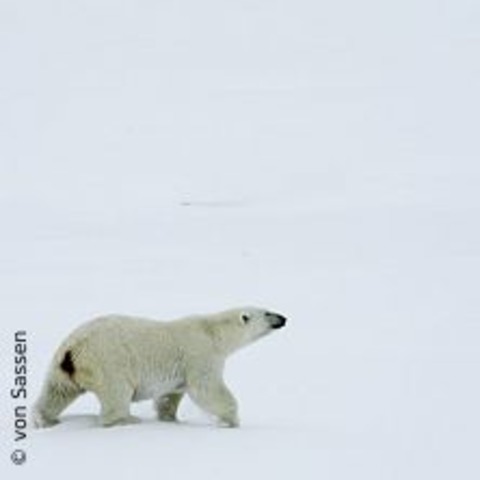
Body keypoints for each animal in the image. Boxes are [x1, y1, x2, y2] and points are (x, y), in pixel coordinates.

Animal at [32, 308, 284, 428]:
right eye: (267, 312)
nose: (283, 318)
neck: (213, 331)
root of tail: (73, 349)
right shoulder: (200, 354)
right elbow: (207, 388)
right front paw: (231, 420)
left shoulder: (178, 373)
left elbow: (169, 395)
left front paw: (169, 418)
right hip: (108, 361)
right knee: (117, 393)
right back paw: (127, 420)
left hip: (61, 366)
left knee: (56, 392)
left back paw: (44, 420)